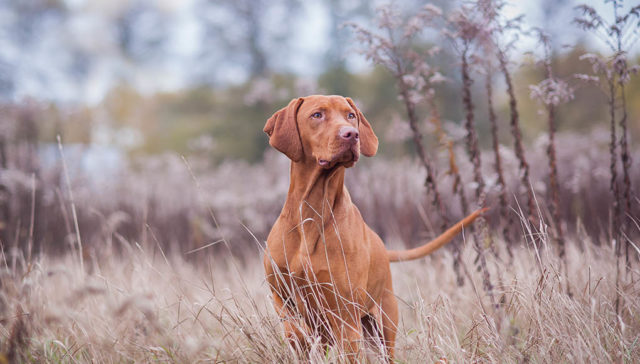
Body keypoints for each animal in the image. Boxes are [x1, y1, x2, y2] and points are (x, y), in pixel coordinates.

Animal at [264, 95, 484, 360]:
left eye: (350, 115)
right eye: (317, 115)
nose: (351, 134)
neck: (312, 212)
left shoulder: (345, 318)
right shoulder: (280, 295)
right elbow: (294, 329)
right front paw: (300, 338)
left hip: (382, 328)